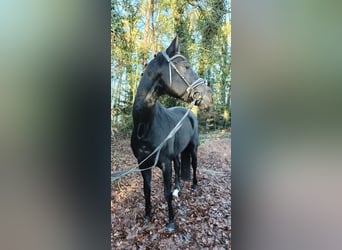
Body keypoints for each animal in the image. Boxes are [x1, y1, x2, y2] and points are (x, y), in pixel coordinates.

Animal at [130, 36, 212, 231]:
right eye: (187, 66)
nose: (209, 96)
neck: (145, 126)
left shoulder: (165, 163)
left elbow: (165, 193)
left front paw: (171, 222)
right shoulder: (143, 164)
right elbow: (146, 190)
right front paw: (147, 215)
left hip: (193, 149)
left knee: (194, 166)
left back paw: (194, 186)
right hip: (176, 153)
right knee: (179, 166)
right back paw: (178, 189)